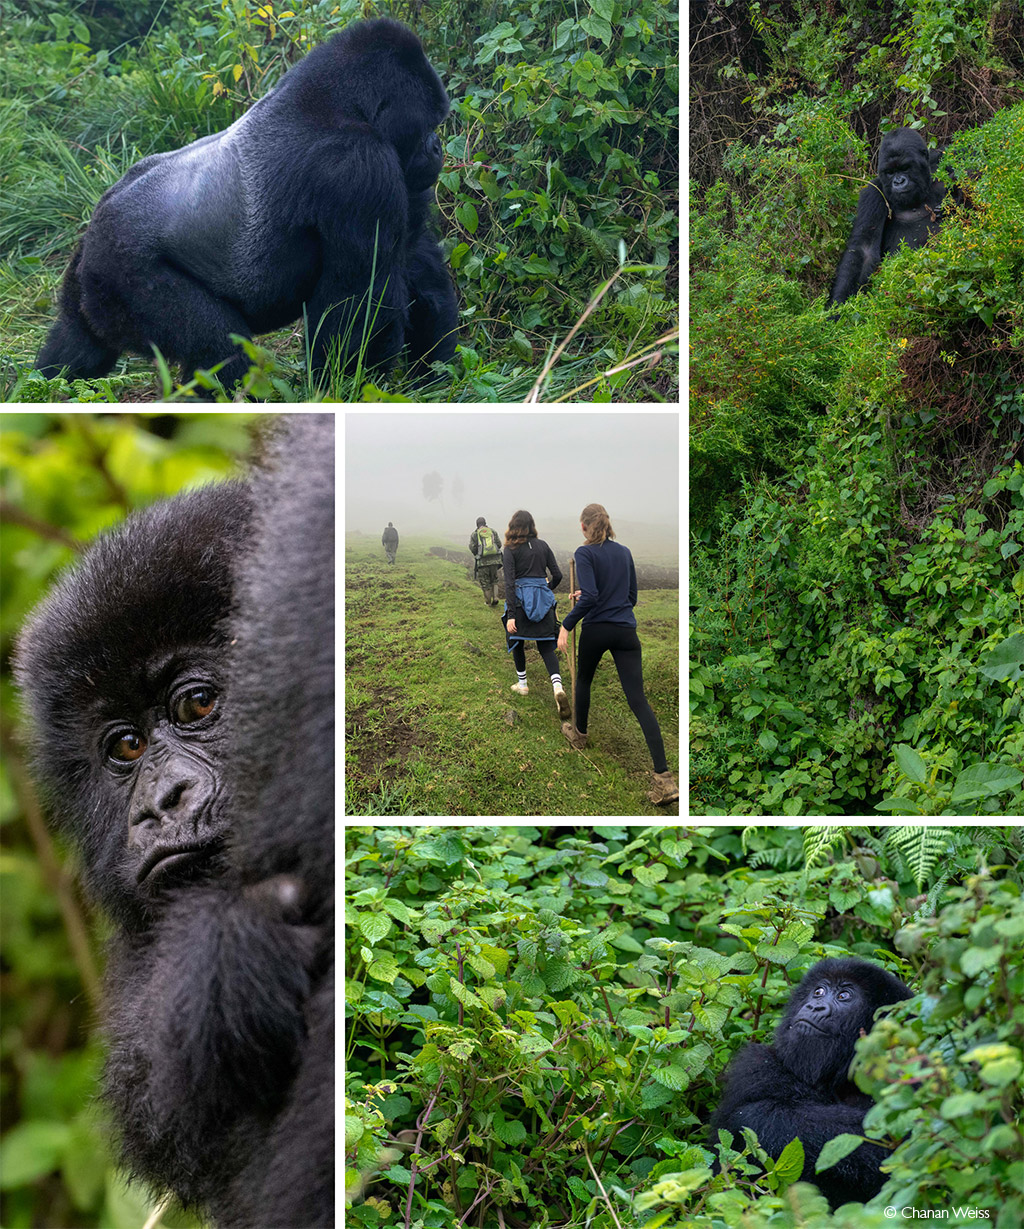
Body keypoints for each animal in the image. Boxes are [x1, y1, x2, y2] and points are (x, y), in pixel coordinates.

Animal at [35, 20, 457, 393]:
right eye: (430, 124)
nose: (437, 148)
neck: (337, 102)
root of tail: (94, 228)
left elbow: (417, 264)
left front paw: (434, 374)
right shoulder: (359, 168)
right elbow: (361, 304)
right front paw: (344, 389)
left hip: (87, 278)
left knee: (77, 346)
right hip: (125, 271)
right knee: (219, 350)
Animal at [826, 127, 949, 307]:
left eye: (904, 168)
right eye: (890, 172)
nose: (898, 182)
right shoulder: (873, 193)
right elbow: (864, 250)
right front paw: (839, 304)